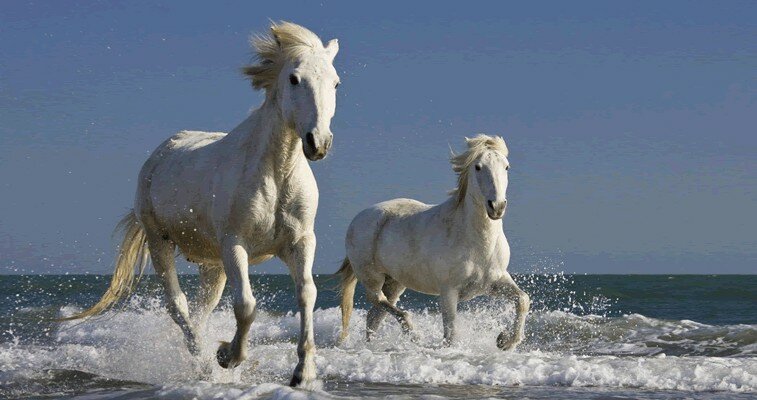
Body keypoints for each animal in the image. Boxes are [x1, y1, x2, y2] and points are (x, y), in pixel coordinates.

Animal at [63, 22, 342, 388]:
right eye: (294, 79)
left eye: (336, 82)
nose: (318, 143)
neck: (276, 172)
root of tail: (161, 153)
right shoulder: (235, 245)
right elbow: (246, 305)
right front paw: (227, 356)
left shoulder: (301, 242)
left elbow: (306, 294)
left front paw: (303, 373)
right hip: (161, 243)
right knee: (178, 306)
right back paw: (203, 364)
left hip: (213, 265)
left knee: (199, 312)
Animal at [340, 135, 528, 350]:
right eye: (478, 167)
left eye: (506, 166)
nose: (496, 207)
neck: (477, 243)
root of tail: (358, 218)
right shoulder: (448, 292)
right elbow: (451, 334)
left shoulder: (494, 282)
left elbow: (523, 299)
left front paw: (505, 341)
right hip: (372, 277)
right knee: (379, 301)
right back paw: (412, 333)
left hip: (394, 283)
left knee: (374, 316)